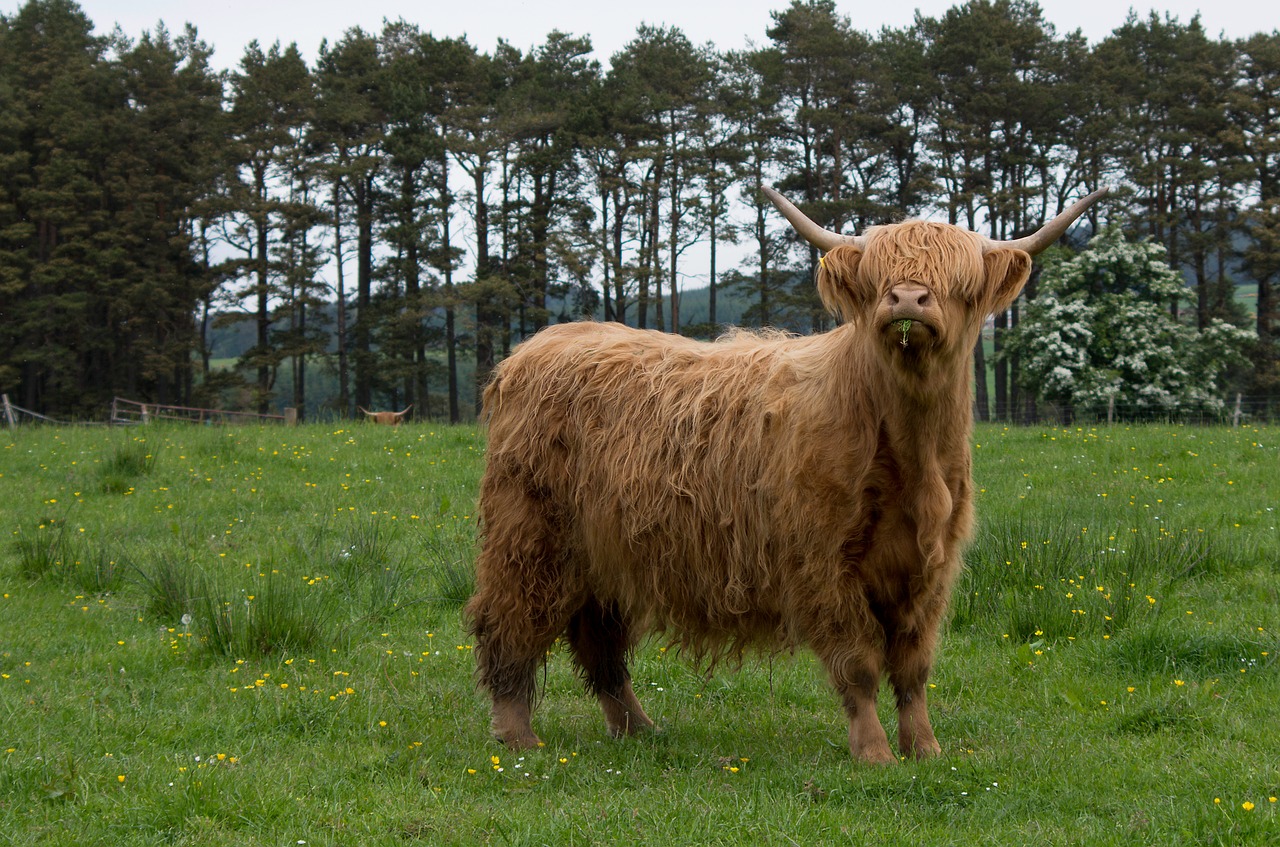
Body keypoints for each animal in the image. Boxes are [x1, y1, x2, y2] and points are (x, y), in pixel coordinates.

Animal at [468, 189, 1111, 767]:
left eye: (960, 280)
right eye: (879, 275)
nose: (907, 298)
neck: (915, 458)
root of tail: (536, 346)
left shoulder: (931, 566)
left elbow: (913, 666)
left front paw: (925, 749)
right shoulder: (822, 561)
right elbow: (859, 663)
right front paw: (875, 753)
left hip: (603, 552)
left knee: (597, 637)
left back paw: (638, 729)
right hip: (530, 535)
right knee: (509, 623)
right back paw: (517, 736)